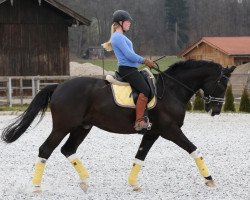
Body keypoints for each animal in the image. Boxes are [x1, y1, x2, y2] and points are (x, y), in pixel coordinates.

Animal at [0, 60, 234, 191]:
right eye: (223, 83)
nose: (215, 110)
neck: (172, 89)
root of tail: (58, 86)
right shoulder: (170, 130)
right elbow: (194, 149)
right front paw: (210, 179)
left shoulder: (153, 132)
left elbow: (139, 157)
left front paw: (133, 184)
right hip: (62, 127)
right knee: (45, 149)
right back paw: (36, 187)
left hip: (82, 127)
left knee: (68, 149)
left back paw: (85, 182)